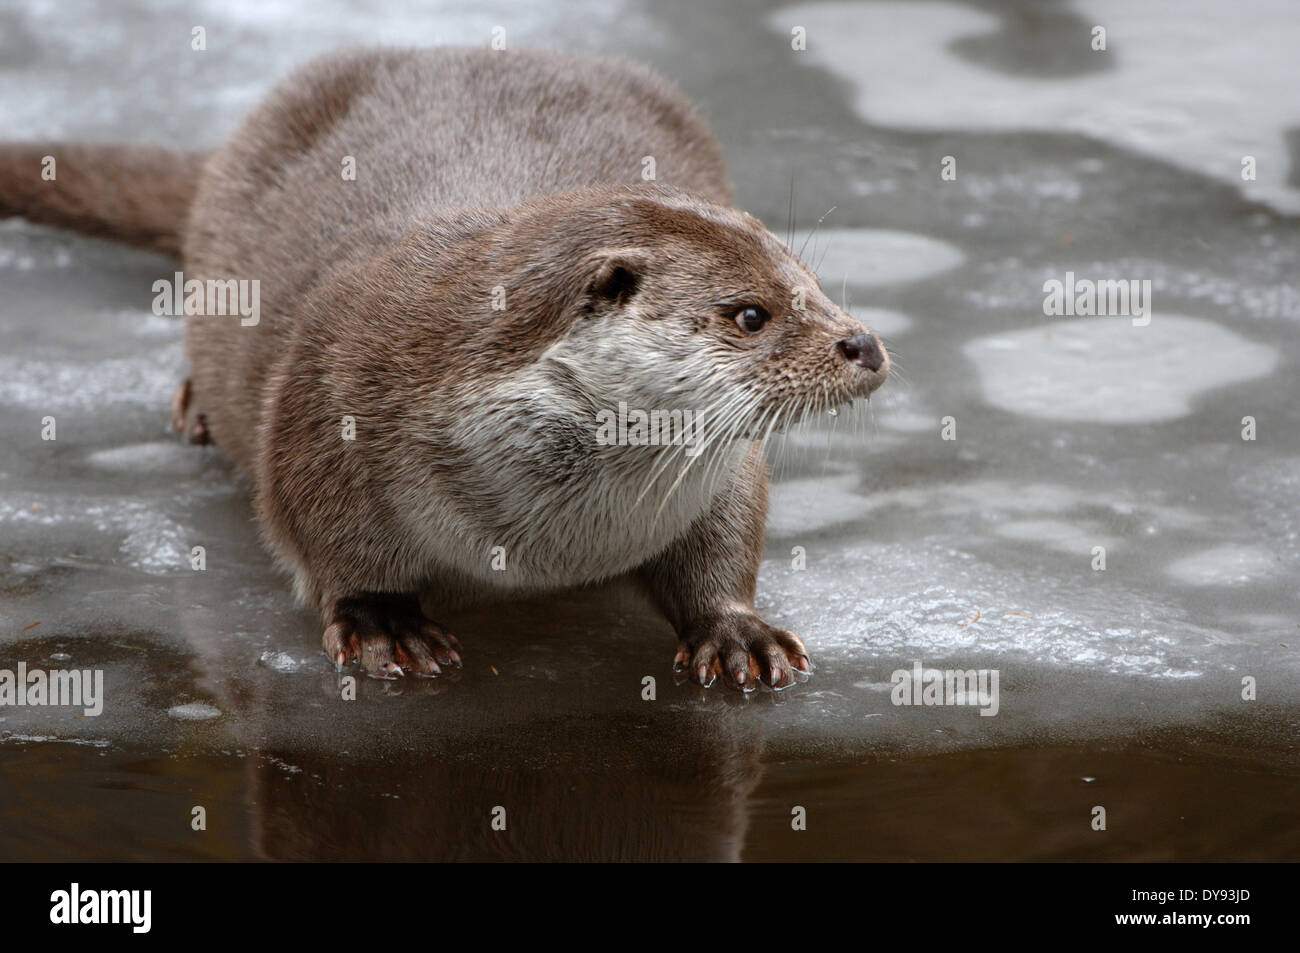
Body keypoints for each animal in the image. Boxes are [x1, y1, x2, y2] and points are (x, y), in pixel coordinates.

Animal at [0, 46, 888, 691]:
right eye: (750, 314)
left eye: (814, 284)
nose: (864, 345)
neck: (551, 542)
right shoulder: (329, 399)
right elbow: (323, 534)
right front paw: (383, 620)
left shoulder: (718, 473)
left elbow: (724, 544)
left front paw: (736, 629)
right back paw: (195, 407)